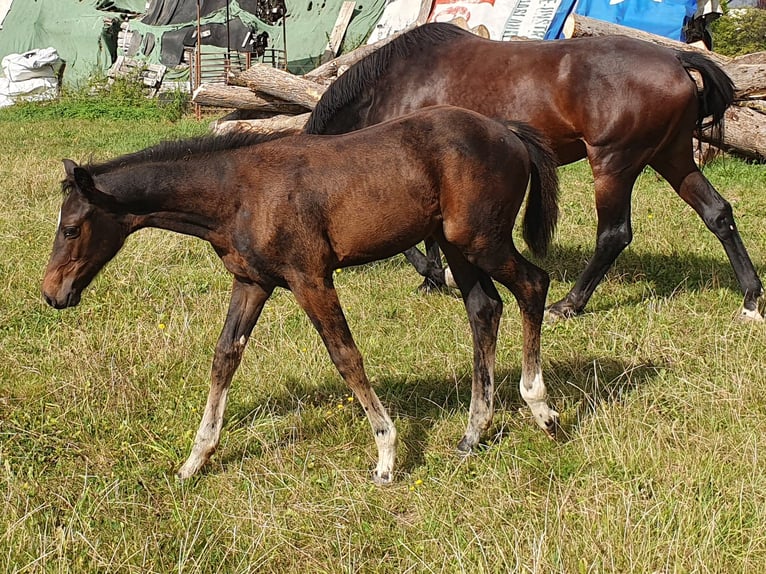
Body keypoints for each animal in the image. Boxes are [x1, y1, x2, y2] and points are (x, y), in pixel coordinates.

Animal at [42, 106, 560, 484]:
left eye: (71, 228)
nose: (51, 294)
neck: (239, 194)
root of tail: (507, 131)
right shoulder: (252, 282)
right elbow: (225, 357)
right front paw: (195, 460)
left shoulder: (310, 279)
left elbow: (345, 355)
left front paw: (386, 454)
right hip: (456, 245)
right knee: (484, 308)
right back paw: (474, 433)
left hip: (482, 241)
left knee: (533, 285)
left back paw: (541, 408)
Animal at [306, 22, 766, 324]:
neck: (396, 83)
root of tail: (676, 58)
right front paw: (435, 278)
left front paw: (436, 276)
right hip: (672, 158)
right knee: (717, 213)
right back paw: (750, 298)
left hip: (613, 165)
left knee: (614, 235)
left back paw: (569, 304)